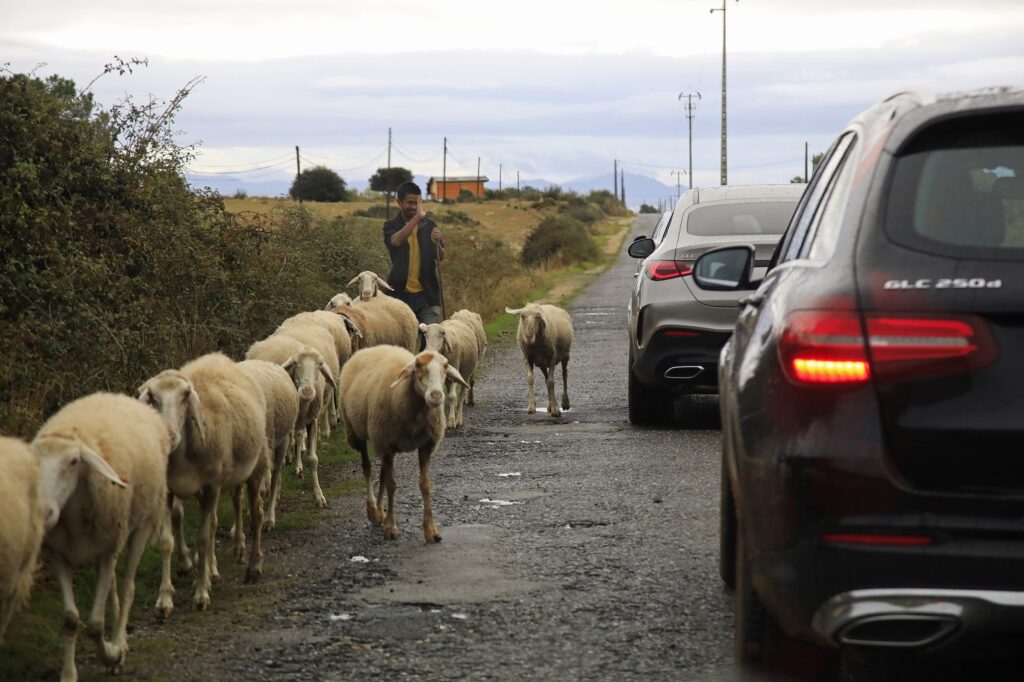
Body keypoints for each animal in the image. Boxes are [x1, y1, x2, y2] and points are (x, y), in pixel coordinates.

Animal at [30, 393, 169, 679]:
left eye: (74, 462)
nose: (44, 512)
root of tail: (116, 395)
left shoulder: (108, 551)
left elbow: (94, 624)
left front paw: (112, 655)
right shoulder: (59, 555)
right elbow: (70, 619)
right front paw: (68, 674)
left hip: (142, 524)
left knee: (127, 587)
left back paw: (119, 642)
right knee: (114, 587)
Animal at [139, 350, 268, 610]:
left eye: (185, 396)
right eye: (153, 398)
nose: (169, 435)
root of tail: (218, 356)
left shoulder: (211, 487)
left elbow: (202, 537)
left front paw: (201, 594)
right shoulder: (169, 492)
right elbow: (167, 541)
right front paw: (165, 599)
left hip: (255, 466)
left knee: (256, 516)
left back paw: (253, 567)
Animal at [243, 331, 335, 507]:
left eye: (320, 365)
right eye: (296, 363)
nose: (307, 391)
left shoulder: (312, 421)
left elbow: (313, 459)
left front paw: (319, 496)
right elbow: (276, 466)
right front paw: (275, 493)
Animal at [344, 346, 471, 540]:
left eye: (445, 365)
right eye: (417, 365)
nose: (436, 395)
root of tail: (370, 348)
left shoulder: (426, 445)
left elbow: (425, 485)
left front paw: (431, 530)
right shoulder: (386, 445)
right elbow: (392, 485)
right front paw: (391, 527)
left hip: (383, 444)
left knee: (382, 473)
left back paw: (379, 511)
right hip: (357, 433)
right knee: (367, 468)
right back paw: (372, 510)